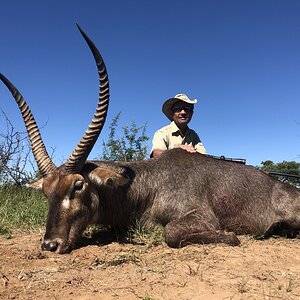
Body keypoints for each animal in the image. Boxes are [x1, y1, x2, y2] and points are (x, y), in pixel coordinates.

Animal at [0, 25, 300, 253]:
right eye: (46, 191)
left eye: (78, 185)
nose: (50, 244)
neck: (146, 185)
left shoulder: (200, 216)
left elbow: (171, 233)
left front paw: (231, 236)